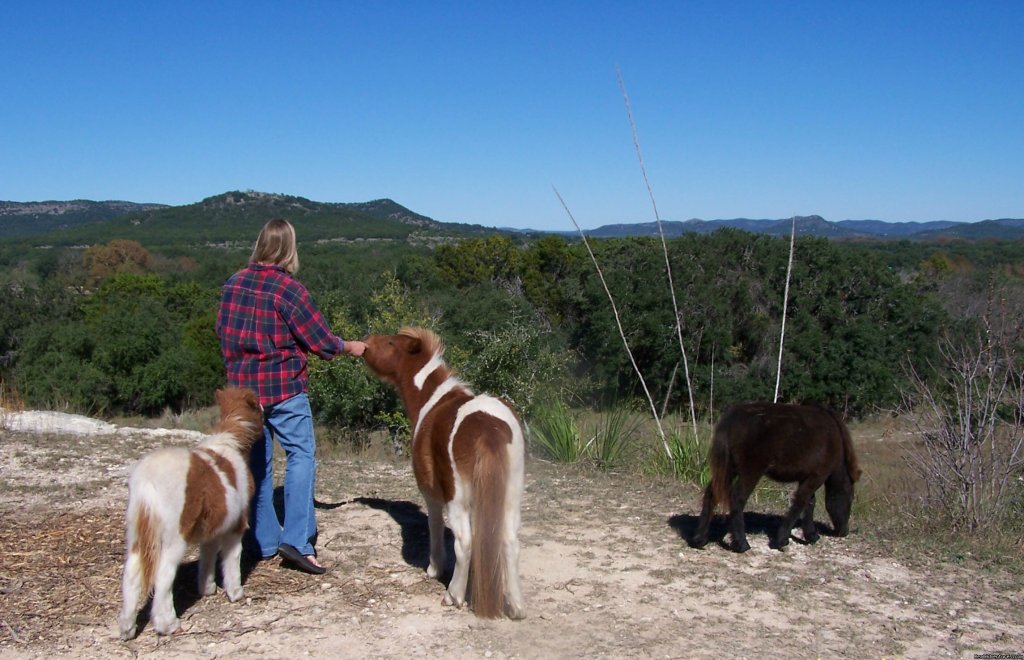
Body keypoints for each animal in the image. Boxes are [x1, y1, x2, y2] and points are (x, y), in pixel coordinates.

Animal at [116, 386, 264, 638]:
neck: (231, 443)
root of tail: (147, 480)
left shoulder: (213, 527)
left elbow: (208, 556)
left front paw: (207, 588)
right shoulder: (235, 525)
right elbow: (231, 559)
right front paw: (235, 593)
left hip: (136, 536)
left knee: (132, 575)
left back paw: (127, 628)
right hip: (174, 539)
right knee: (163, 577)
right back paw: (168, 625)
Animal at [360, 327, 524, 622]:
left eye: (390, 342)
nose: (365, 343)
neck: (432, 399)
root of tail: (489, 428)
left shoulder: (432, 495)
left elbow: (435, 527)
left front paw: (435, 568)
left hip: (457, 499)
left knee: (464, 542)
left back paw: (453, 595)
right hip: (511, 497)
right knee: (509, 541)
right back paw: (516, 606)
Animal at [688, 401, 864, 552]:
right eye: (850, 499)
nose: (844, 531)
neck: (835, 440)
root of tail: (734, 416)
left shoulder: (807, 477)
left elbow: (809, 503)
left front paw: (811, 535)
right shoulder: (817, 477)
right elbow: (800, 503)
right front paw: (782, 540)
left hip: (729, 469)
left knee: (711, 494)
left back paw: (699, 539)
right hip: (749, 472)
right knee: (737, 499)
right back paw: (742, 544)